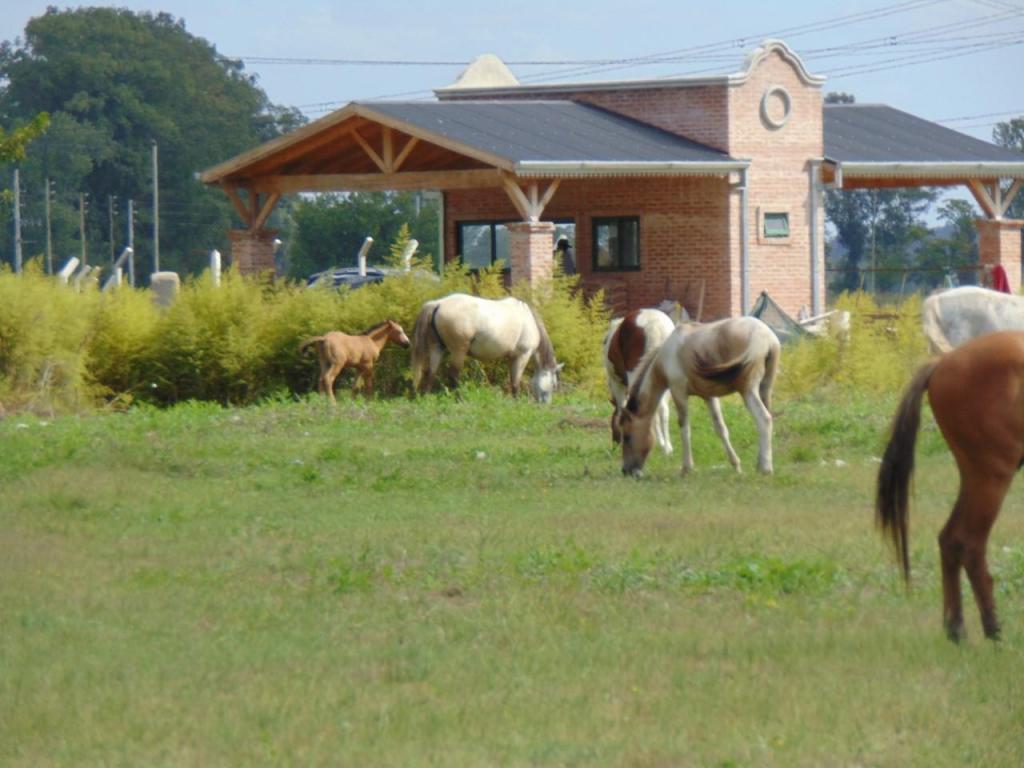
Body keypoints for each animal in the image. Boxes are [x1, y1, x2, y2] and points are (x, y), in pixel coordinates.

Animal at [411, 292, 565, 403]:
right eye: (554, 385)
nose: (545, 404)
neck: (529, 320)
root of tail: (438, 303)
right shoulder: (522, 356)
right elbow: (516, 381)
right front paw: (517, 402)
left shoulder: (511, 357)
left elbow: (512, 379)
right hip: (458, 351)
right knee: (453, 375)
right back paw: (459, 399)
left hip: (437, 348)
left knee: (431, 372)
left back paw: (426, 398)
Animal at [602, 309, 675, 454]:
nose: (615, 444)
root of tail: (656, 326)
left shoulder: (617, 385)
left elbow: (621, 410)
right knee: (662, 409)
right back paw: (667, 448)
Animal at [618, 317, 778, 475]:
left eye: (627, 437)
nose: (626, 470)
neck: (666, 357)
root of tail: (766, 336)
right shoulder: (709, 397)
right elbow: (721, 429)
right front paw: (736, 465)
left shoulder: (679, 392)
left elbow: (685, 429)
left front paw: (686, 468)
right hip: (764, 389)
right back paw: (760, 463)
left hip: (748, 391)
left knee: (764, 419)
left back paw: (765, 468)